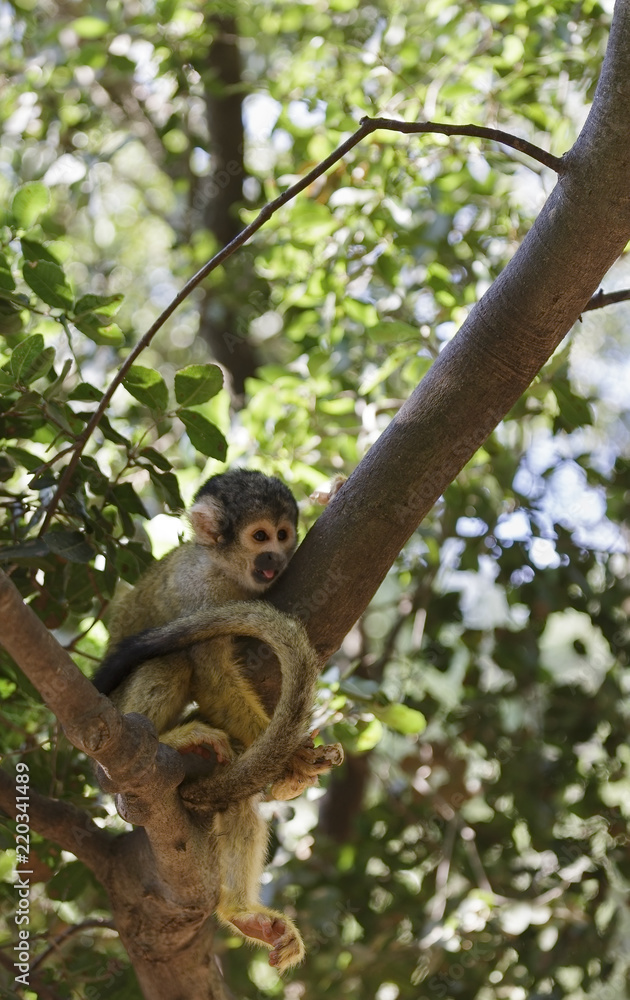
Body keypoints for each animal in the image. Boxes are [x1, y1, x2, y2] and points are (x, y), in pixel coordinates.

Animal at [93, 469, 343, 971]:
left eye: (283, 535)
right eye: (260, 536)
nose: (274, 558)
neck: (227, 571)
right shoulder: (202, 596)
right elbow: (211, 678)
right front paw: (295, 761)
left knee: (237, 798)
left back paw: (242, 913)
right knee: (170, 661)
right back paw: (169, 741)